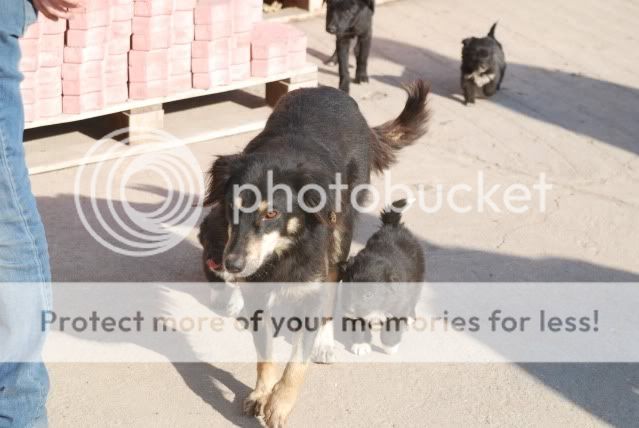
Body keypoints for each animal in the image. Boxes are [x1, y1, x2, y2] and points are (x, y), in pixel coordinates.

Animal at [340, 199, 424, 356]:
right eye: (348, 289)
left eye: (369, 295)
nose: (350, 311)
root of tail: (393, 226)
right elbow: (359, 325)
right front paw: (361, 345)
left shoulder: (398, 303)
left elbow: (392, 326)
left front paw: (390, 347)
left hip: (417, 279)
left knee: (413, 300)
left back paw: (409, 318)